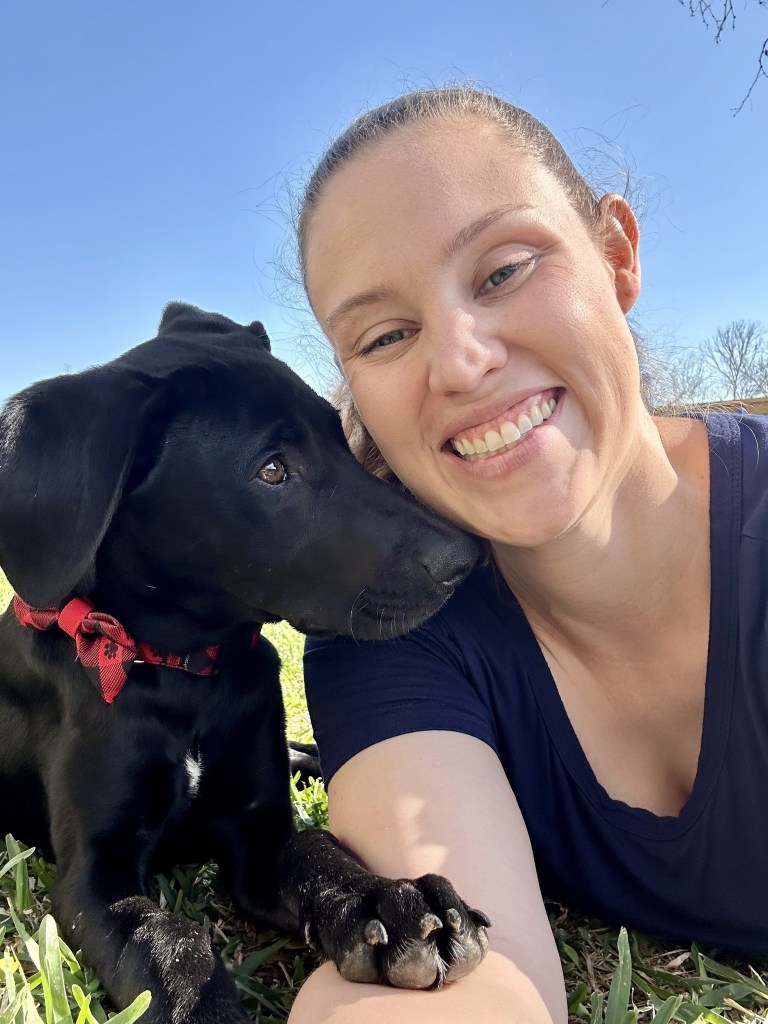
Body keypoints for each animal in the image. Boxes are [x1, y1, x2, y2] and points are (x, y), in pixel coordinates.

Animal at [0, 305, 489, 1024]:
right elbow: (164, 940)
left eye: (341, 440)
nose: (467, 558)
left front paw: (388, 902)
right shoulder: (92, 876)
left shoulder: (259, 831)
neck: (183, 675)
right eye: (272, 471)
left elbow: (318, 854)